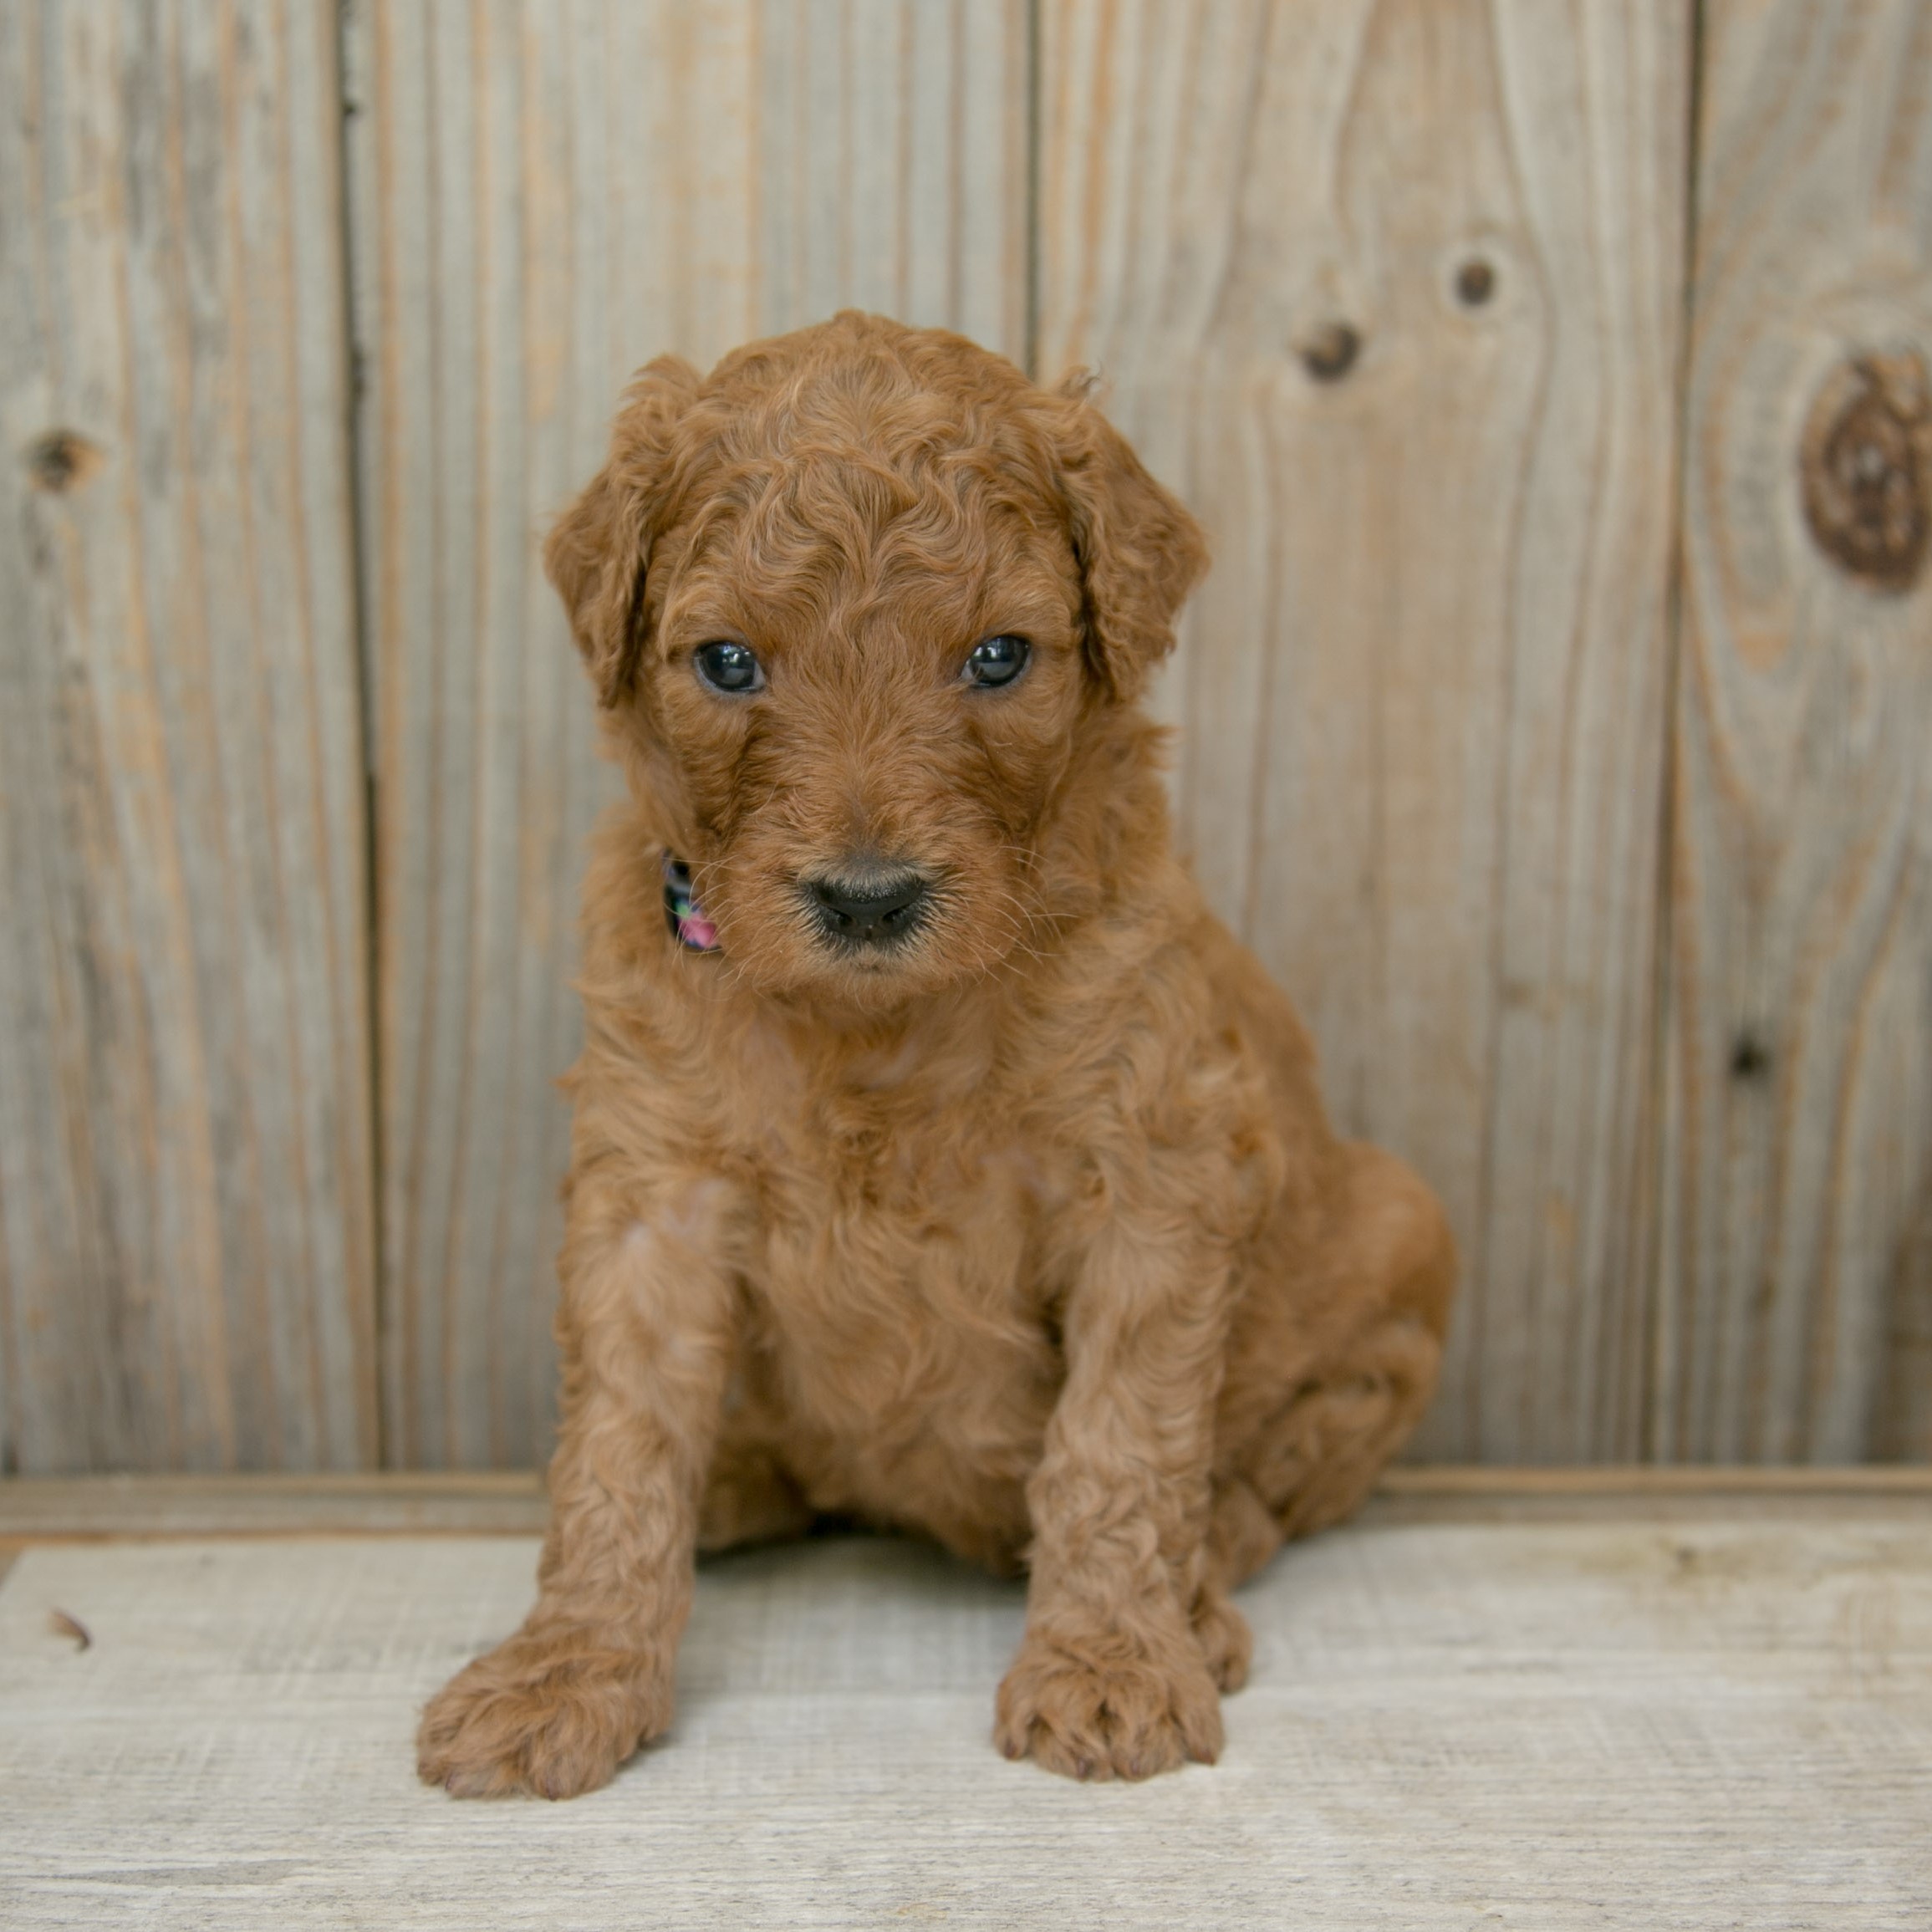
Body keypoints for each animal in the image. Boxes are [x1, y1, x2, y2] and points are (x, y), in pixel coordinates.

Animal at [419, 305, 1452, 1792]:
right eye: (727, 662)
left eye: (998, 657)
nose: (866, 898)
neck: (877, 1022)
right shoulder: (651, 1191)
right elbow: (615, 1446)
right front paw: (568, 1667)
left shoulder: (1151, 1179)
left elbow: (1119, 1441)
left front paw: (1110, 1657)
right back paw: (738, 1481)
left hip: (1400, 1236)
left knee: (1271, 1475)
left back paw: (1199, 1592)